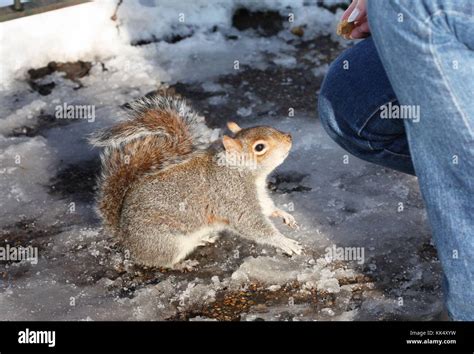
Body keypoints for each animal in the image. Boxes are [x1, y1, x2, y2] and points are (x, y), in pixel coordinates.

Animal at [90, 92, 302, 270]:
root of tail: (126, 238)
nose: (289, 137)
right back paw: (183, 264)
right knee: (162, 261)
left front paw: (284, 214)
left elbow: (267, 207)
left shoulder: (257, 194)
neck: (242, 173)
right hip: (167, 242)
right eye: (259, 147)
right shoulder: (232, 197)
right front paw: (285, 242)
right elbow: (251, 224)